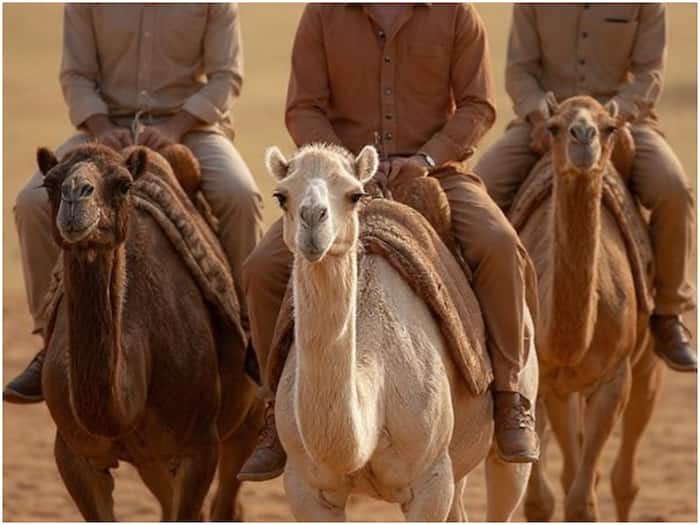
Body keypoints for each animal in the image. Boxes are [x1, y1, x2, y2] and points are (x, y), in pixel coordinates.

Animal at [37, 143, 261, 521]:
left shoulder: (198, 447)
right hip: (151, 461)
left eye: (123, 184)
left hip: (246, 417)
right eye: (50, 184)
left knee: (228, 497)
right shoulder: (73, 453)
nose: (75, 195)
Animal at [513, 96, 664, 521]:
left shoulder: (615, 377)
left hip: (646, 366)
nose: (583, 136)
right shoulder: (549, 382)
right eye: (553, 127)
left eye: (610, 127)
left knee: (624, 478)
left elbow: (583, 499)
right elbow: (544, 497)